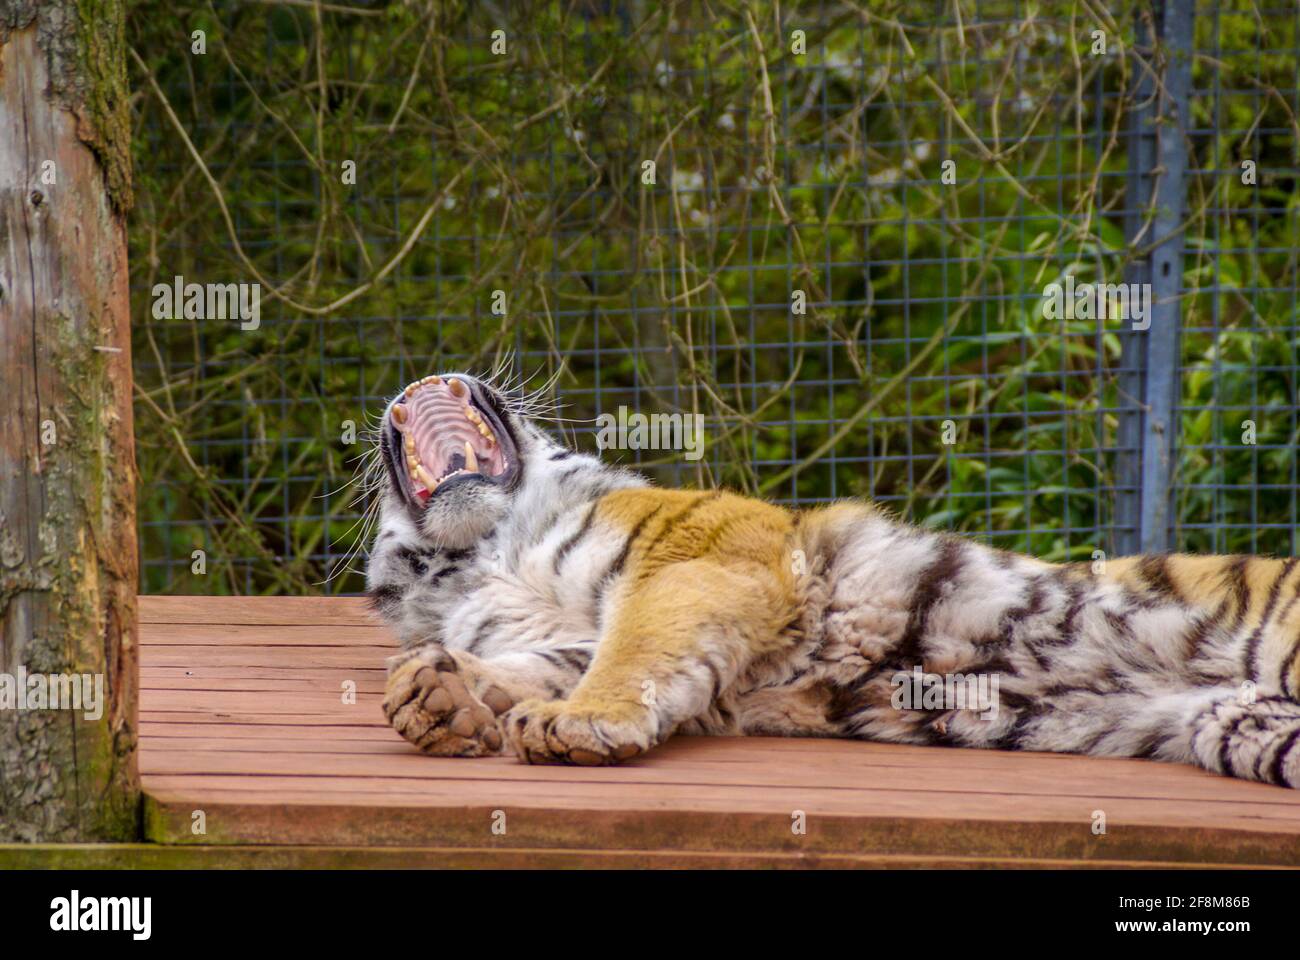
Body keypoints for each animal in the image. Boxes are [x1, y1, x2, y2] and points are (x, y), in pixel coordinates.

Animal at [361, 369, 1300, 780]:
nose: (425, 378)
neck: (483, 548)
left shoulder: (701, 551)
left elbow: (631, 654)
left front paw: (577, 725)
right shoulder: (561, 635)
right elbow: (535, 664)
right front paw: (436, 693)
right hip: (1243, 727)